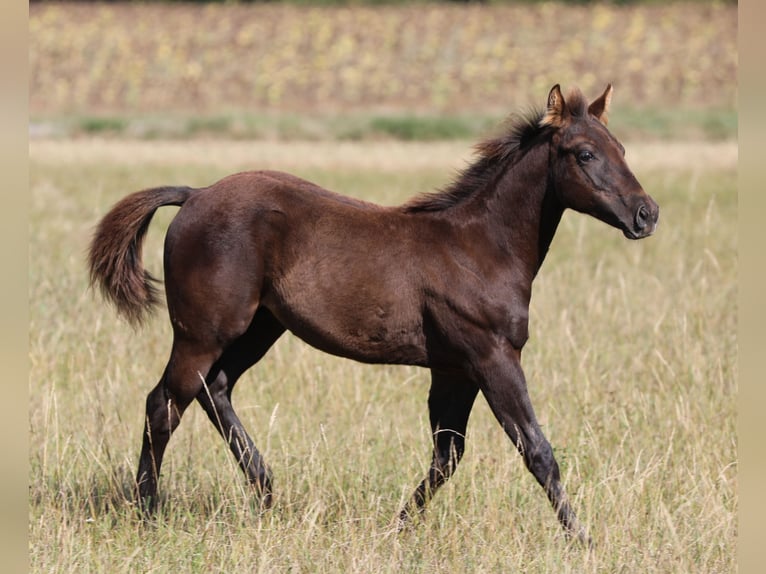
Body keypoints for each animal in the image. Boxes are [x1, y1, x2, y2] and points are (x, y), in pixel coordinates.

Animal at [85, 84, 660, 544]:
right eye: (585, 153)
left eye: (622, 148)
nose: (646, 214)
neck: (479, 247)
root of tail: (195, 194)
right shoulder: (493, 358)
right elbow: (537, 450)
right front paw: (584, 540)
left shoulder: (453, 370)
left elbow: (447, 456)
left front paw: (396, 528)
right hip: (203, 331)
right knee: (164, 403)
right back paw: (148, 512)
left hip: (260, 327)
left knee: (215, 388)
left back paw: (268, 495)